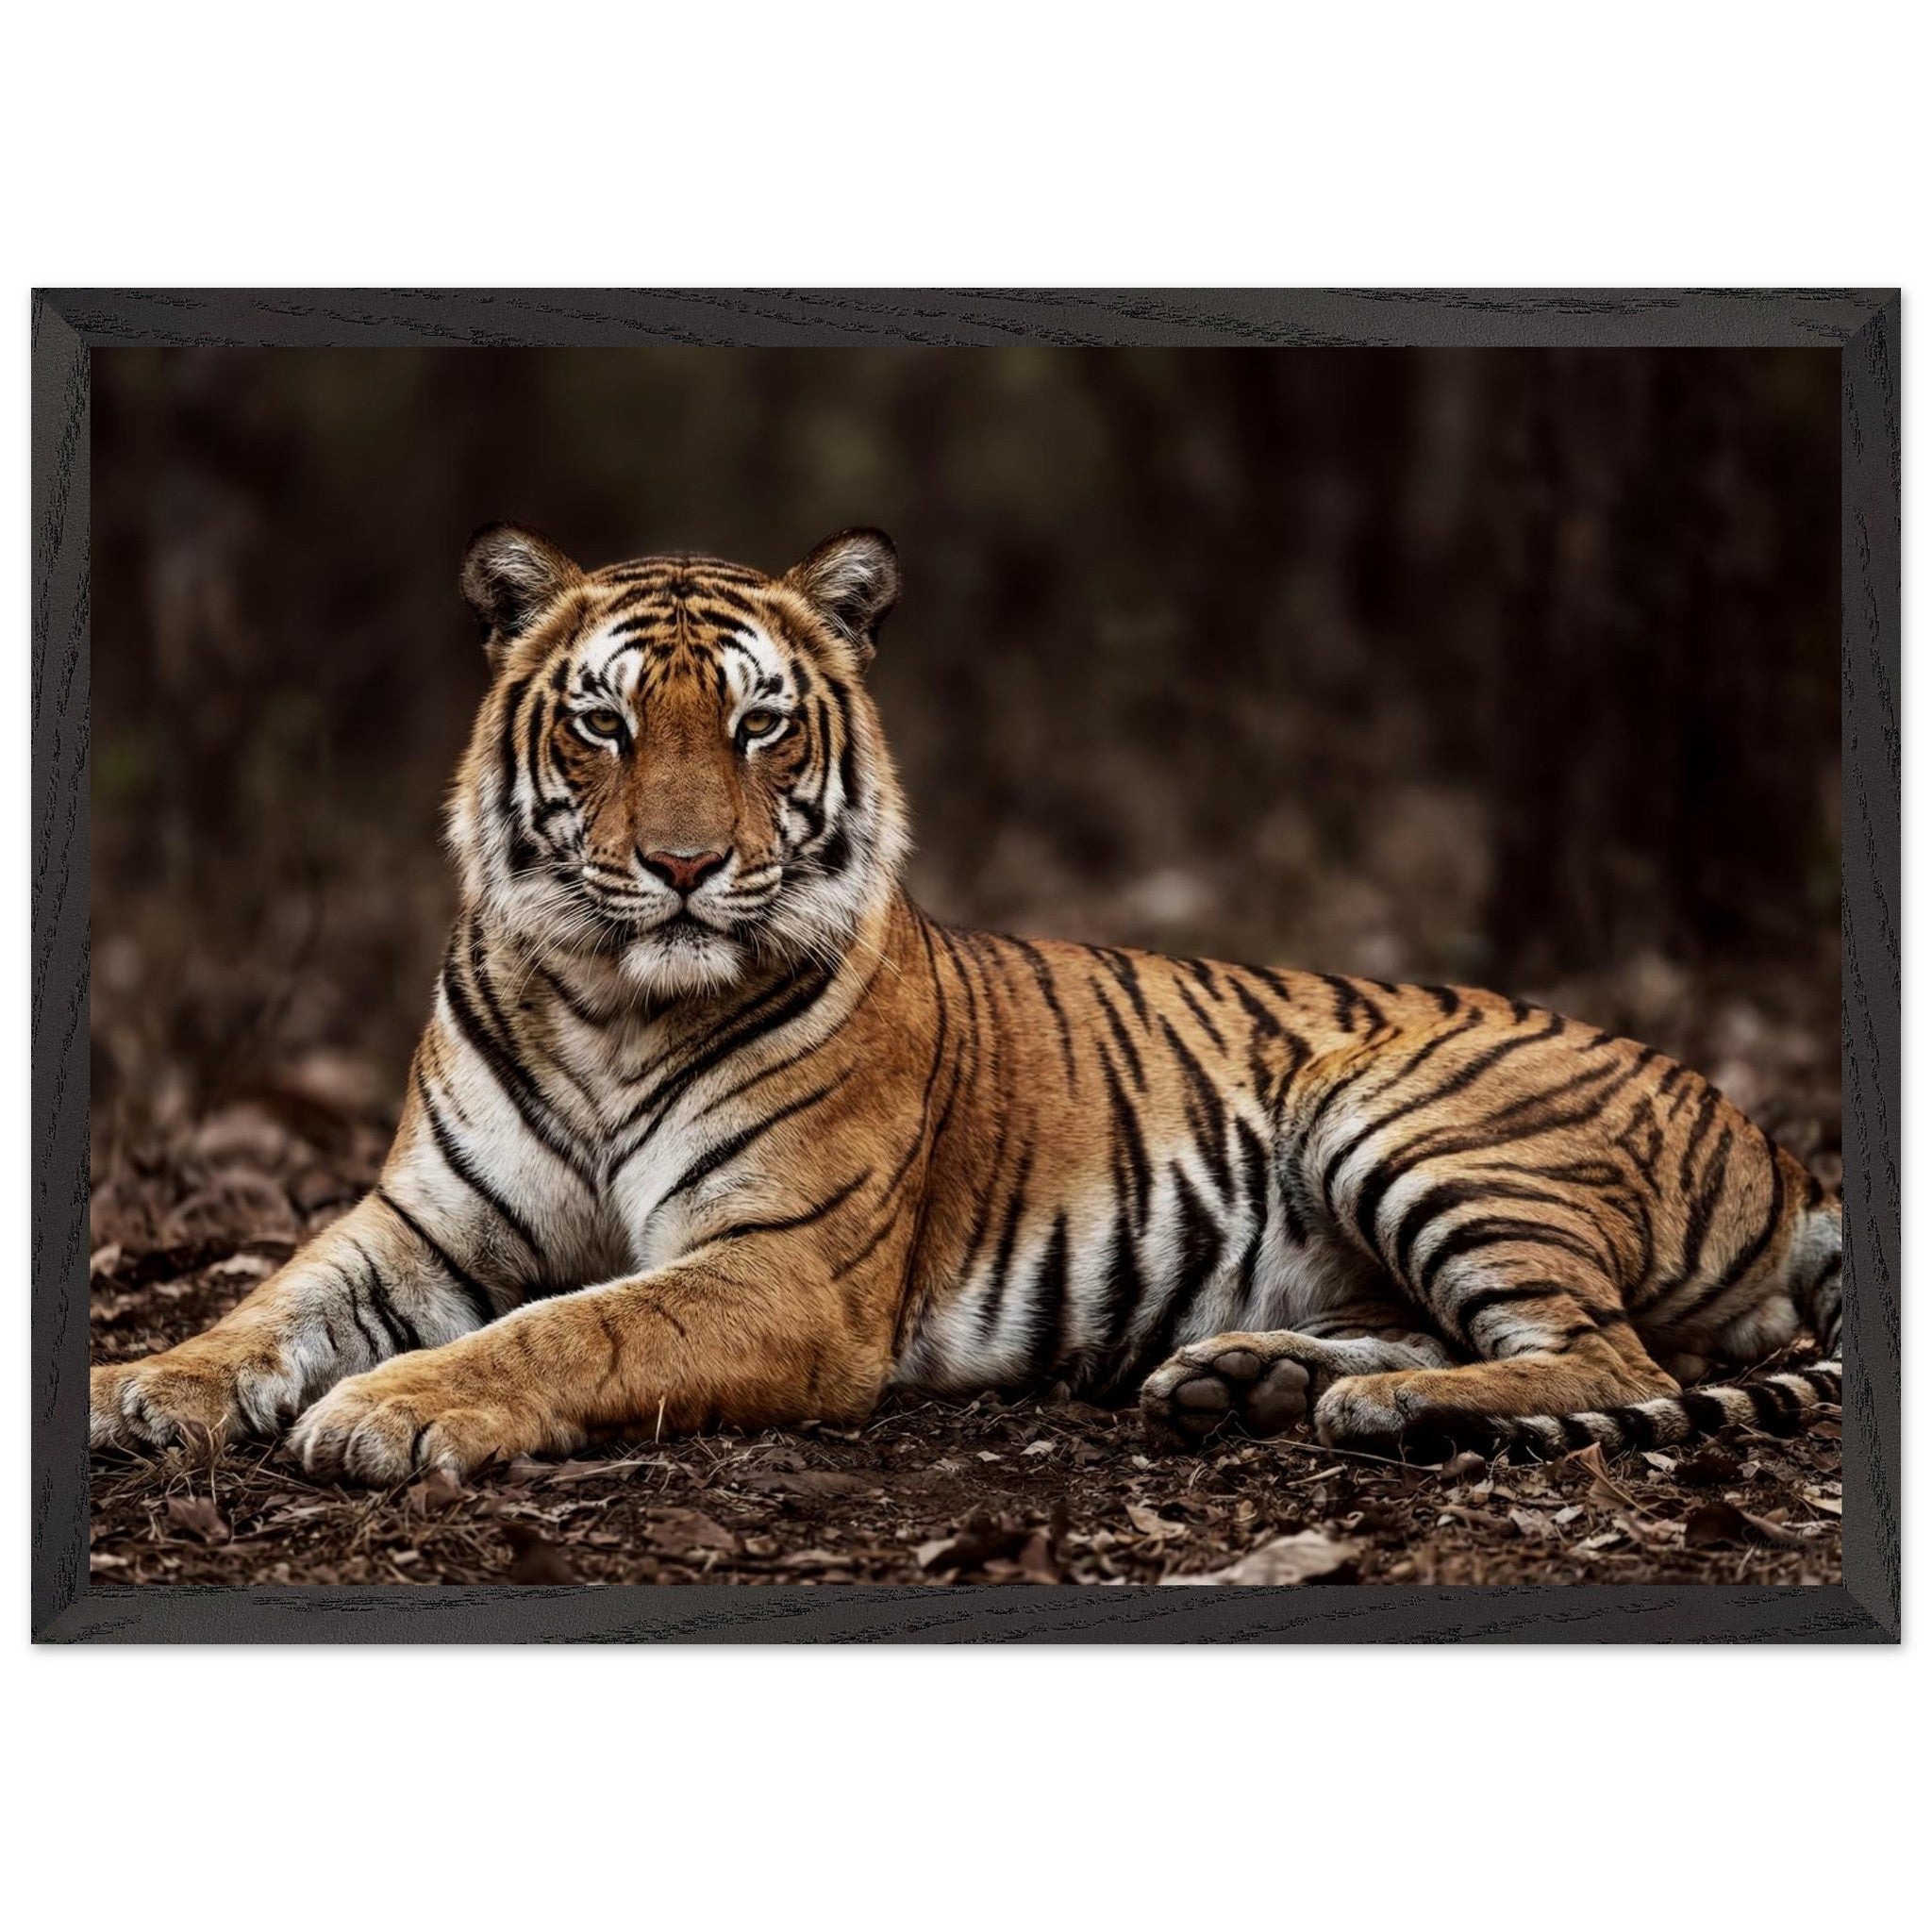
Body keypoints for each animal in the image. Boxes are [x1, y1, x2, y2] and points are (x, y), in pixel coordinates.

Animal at [89, 526, 1844, 1484]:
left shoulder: (778, 1267)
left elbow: (573, 1326)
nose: (680, 865)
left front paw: (390, 1409)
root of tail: (1774, 1137)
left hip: (1405, 1108)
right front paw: (137, 1388)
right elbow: (270, 1303)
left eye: (758, 726)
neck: (604, 1001)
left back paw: (1382, 1405)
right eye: (602, 724)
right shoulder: (422, 1222)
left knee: (1610, 1361)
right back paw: (1255, 1379)